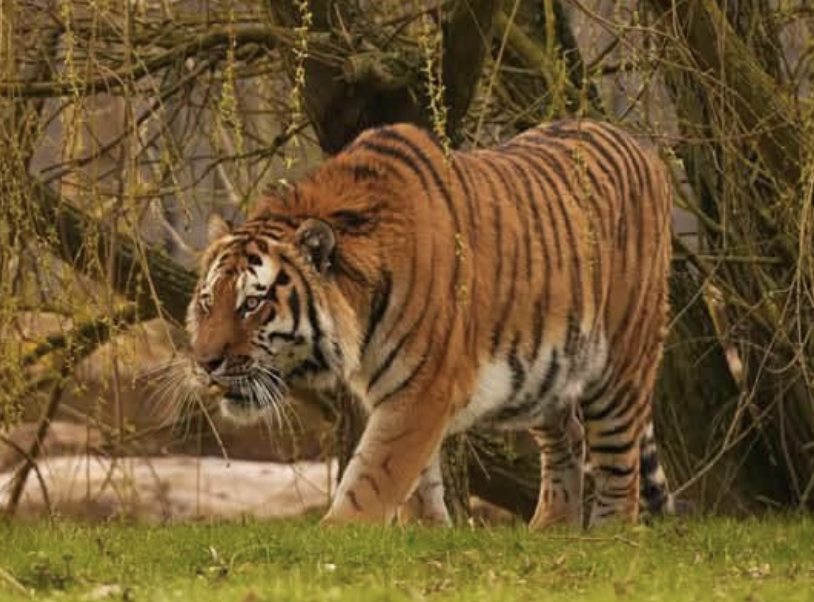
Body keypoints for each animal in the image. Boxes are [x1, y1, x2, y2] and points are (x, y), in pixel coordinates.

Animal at [185, 118, 674, 528]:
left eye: (252, 304)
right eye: (208, 302)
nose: (205, 364)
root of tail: (644, 147)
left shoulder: (422, 389)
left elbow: (374, 476)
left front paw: (337, 535)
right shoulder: (403, 391)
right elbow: (418, 480)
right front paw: (427, 532)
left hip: (620, 367)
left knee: (620, 464)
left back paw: (606, 535)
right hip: (548, 374)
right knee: (567, 437)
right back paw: (550, 529)